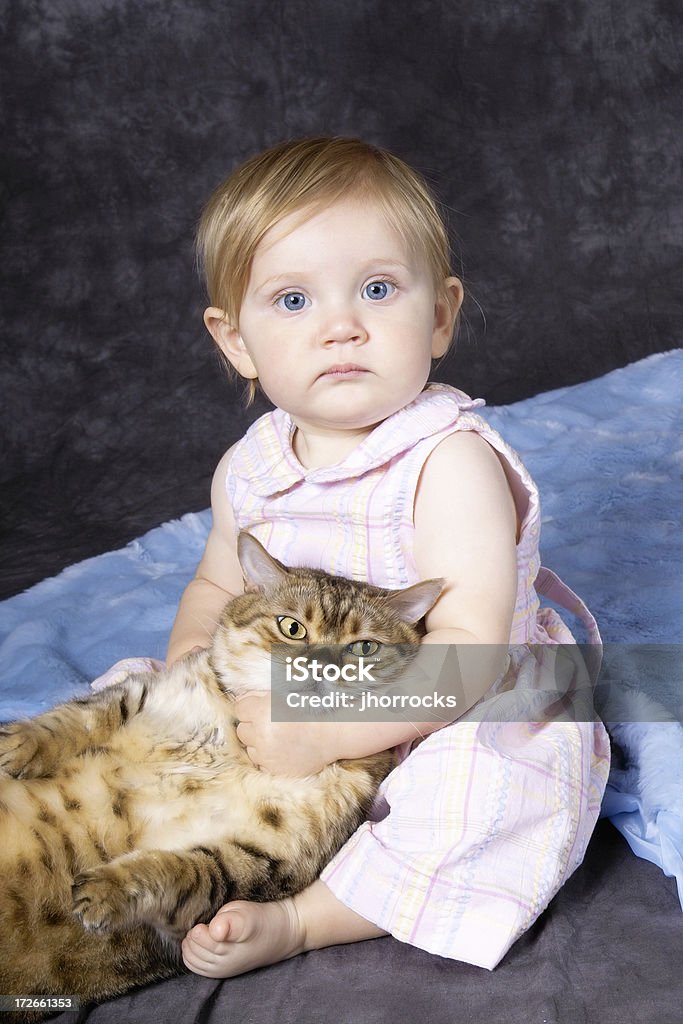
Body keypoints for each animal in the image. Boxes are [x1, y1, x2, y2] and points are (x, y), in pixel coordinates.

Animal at [0, 536, 444, 1015]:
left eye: (364, 648)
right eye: (292, 628)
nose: (322, 669)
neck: (233, 748)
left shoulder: (260, 857)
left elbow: (179, 869)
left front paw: (105, 891)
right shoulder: (144, 693)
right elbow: (80, 717)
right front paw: (17, 743)